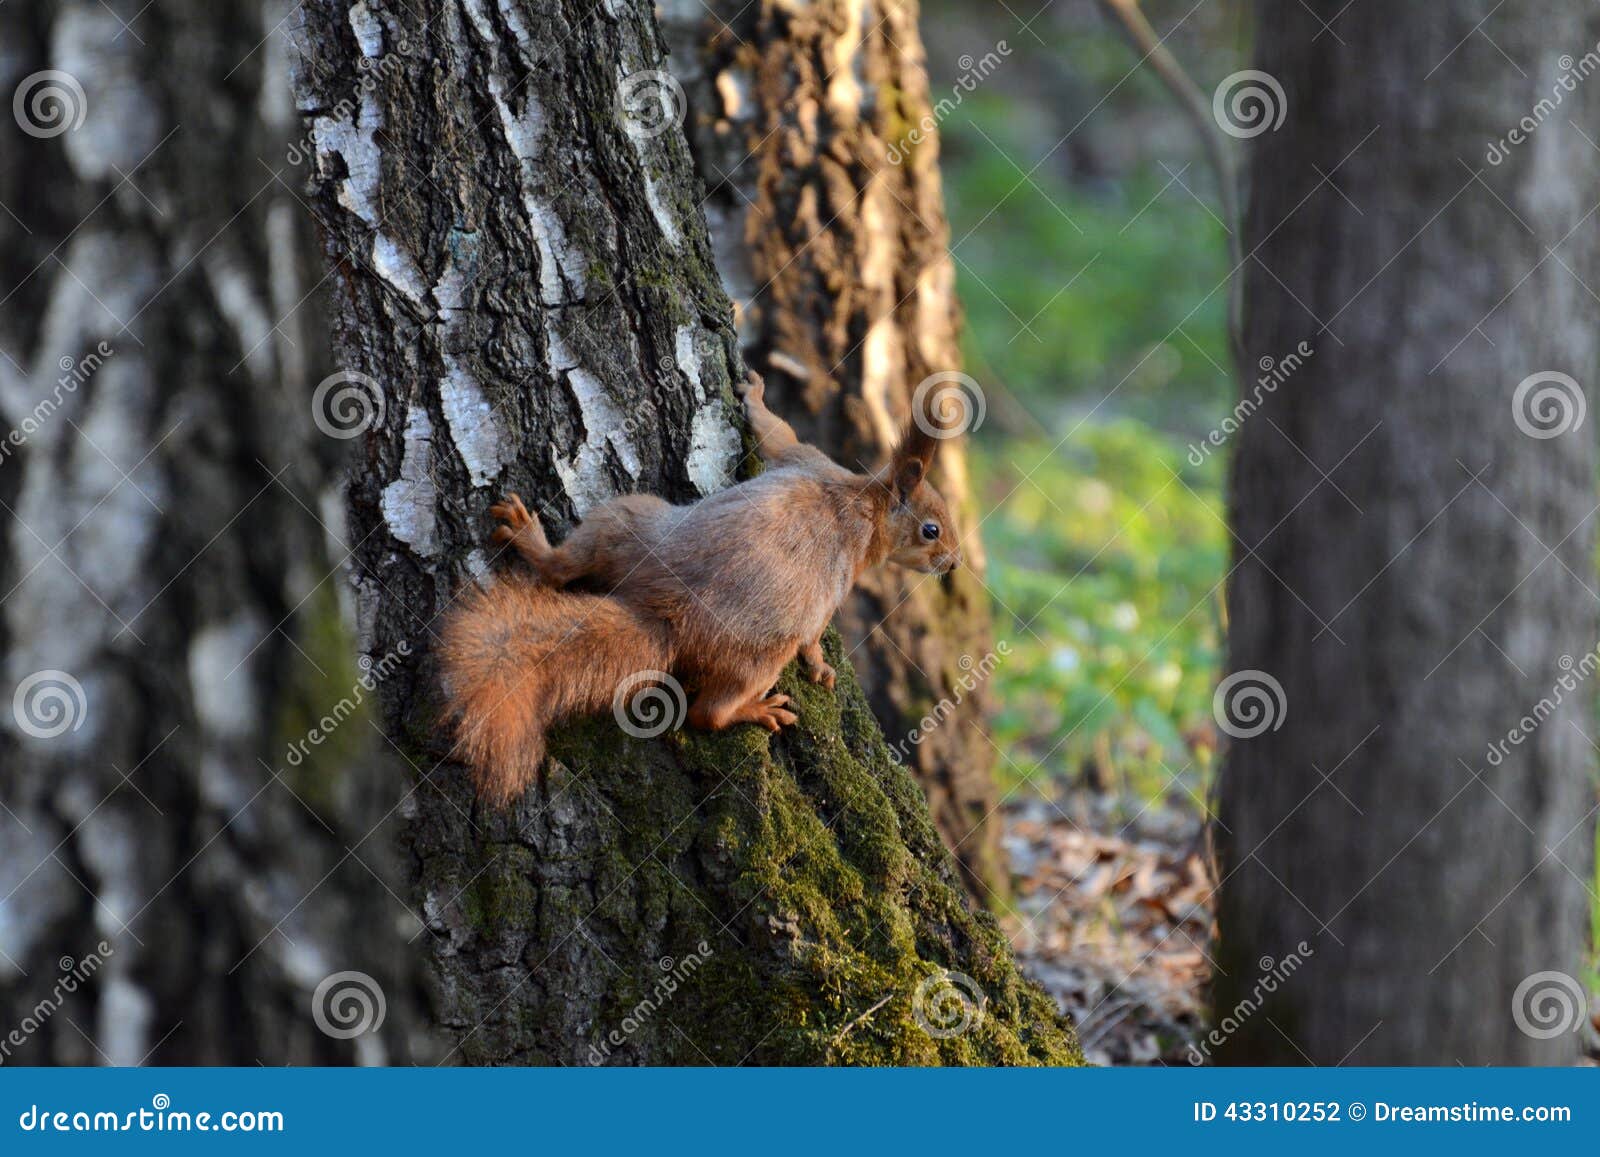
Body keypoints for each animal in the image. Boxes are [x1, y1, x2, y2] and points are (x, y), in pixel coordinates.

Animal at [438, 371, 960, 806]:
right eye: (931, 530)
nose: (954, 563)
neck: (865, 504)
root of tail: (666, 616)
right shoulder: (819, 486)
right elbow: (778, 435)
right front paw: (822, 666)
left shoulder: (812, 466)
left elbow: (775, 436)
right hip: (749, 642)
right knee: (707, 714)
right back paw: (753, 709)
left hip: (628, 526)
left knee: (563, 573)